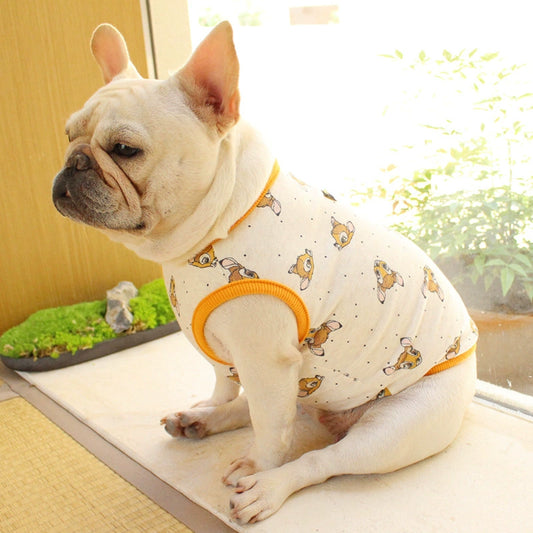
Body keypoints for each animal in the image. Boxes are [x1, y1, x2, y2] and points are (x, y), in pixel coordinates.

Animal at [52, 22, 478, 524]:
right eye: (68, 134)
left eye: (124, 150)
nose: (74, 162)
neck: (221, 222)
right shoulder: (230, 352)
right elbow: (227, 385)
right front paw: (213, 406)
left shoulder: (266, 360)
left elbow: (272, 429)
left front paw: (259, 467)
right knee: (275, 408)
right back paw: (202, 420)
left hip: (393, 428)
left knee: (320, 457)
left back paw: (269, 486)